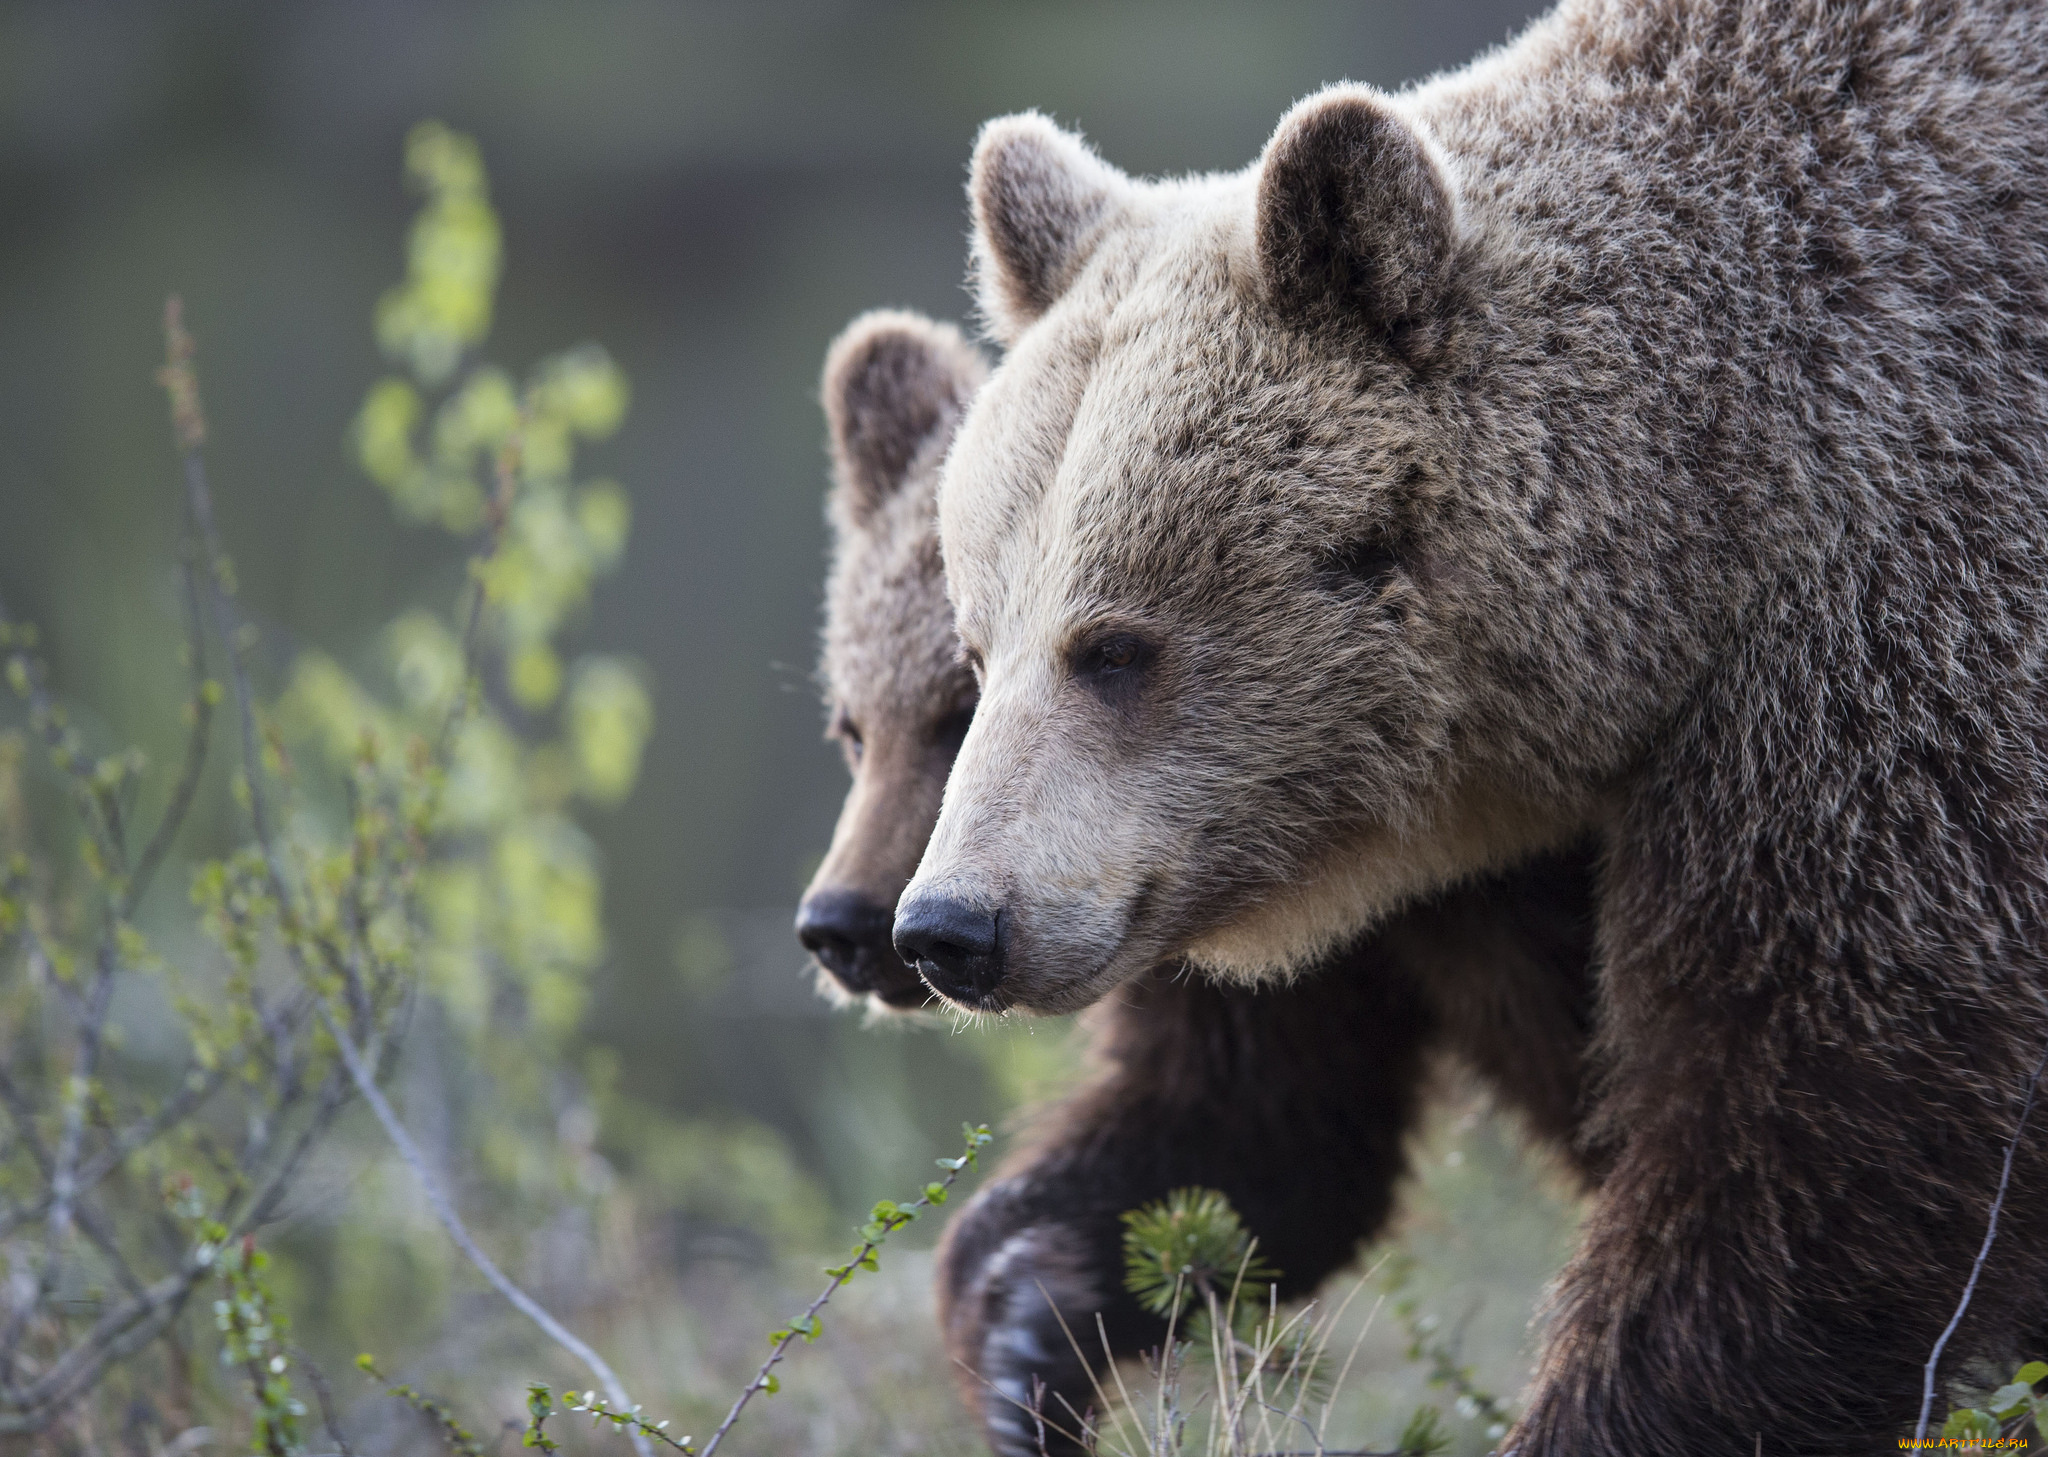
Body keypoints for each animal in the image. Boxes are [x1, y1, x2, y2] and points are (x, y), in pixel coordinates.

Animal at [794, 313, 1597, 1450]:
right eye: (854, 724)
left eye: (958, 711)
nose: (850, 923)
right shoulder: (1281, 930)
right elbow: (1266, 1134)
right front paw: (1027, 1325)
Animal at [901, 5, 2048, 1450]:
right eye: (978, 645)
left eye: (1113, 645)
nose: (951, 926)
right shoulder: (1378, 859)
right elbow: (1271, 1119)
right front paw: (1026, 1307)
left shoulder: (1897, 647)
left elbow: (1824, 1138)